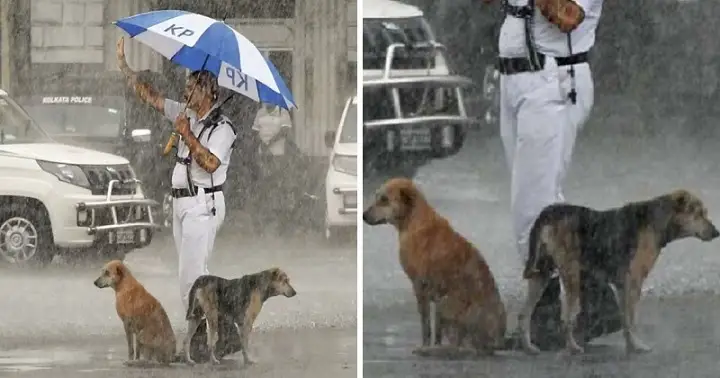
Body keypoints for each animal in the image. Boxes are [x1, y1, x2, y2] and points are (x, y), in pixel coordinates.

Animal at [360, 177, 506, 354]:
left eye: (384, 199)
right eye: (377, 197)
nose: (363, 216)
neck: (414, 220)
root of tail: (495, 342)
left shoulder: (420, 286)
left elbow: (426, 326)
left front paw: (424, 345)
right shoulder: (433, 296)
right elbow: (436, 331)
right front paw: (434, 344)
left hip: (446, 303)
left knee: (459, 344)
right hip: (443, 304)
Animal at [516, 190, 720, 356]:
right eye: (698, 213)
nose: (716, 232)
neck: (658, 220)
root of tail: (550, 211)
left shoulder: (623, 285)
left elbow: (625, 319)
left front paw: (630, 345)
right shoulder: (634, 282)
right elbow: (631, 319)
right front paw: (638, 346)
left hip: (541, 273)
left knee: (524, 314)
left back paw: (529, 348)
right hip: (571, 275)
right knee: (566, 318)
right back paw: (573, 348)